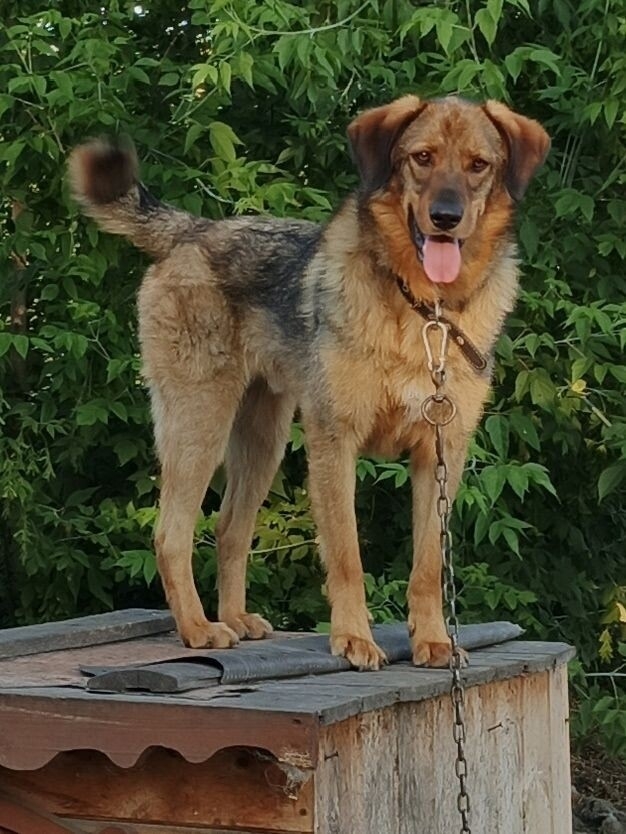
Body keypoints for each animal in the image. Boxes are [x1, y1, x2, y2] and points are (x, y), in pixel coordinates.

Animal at [69, 95, 550, 670]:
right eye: (422, 157)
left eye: (479, 165)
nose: (446, 218)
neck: (421, 309)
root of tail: (192, 231)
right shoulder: (334, 442)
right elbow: (346, 555)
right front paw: (354, 639)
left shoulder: (441, 451)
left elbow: (429, 565)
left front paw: (434, 641)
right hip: (200, 424)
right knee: (172, 534)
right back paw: (199, 629)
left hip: (262, 440)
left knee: (230, 529)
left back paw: (234, 617)